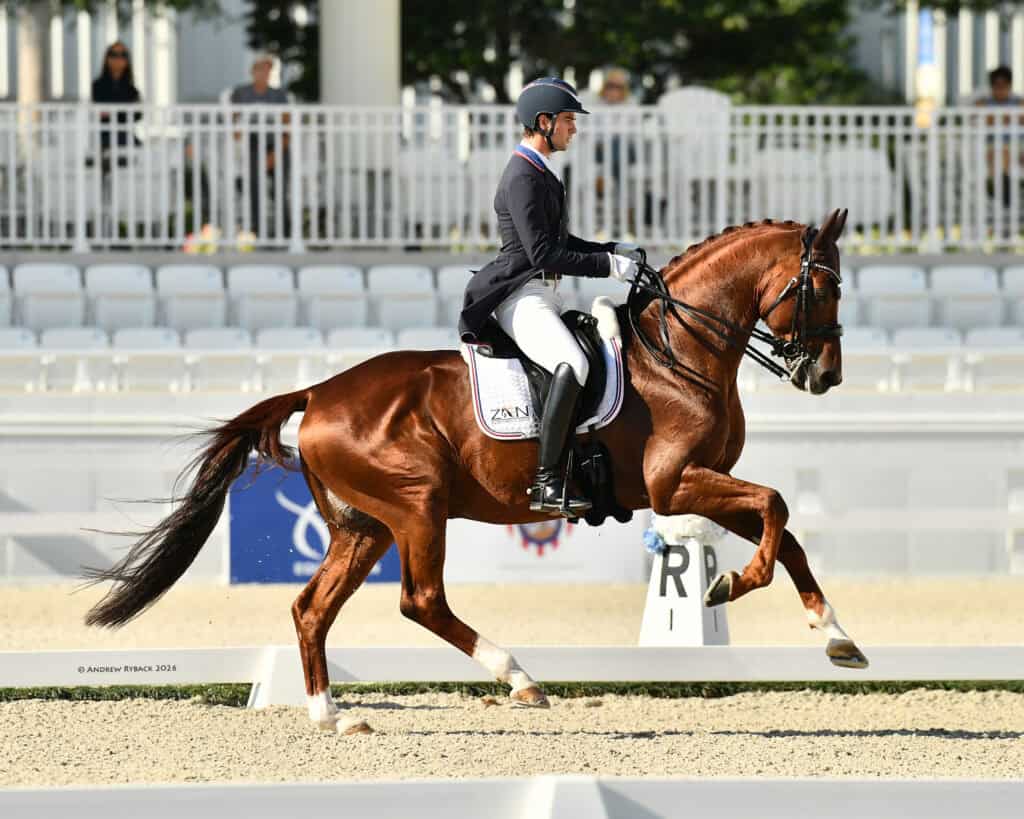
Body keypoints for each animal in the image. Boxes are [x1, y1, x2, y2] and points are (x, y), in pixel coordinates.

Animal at [85, 209, 867, 732]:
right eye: (823, 288)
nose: (824, 375)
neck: (678, 350)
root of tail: (320, 392)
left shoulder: (697, 483)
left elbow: (786, 529)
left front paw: (836, 636)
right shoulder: (674, 484)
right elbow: (776, 508)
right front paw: (726, 584)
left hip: (365, 525)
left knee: (313, 608)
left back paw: (333, 716)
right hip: (418, 505)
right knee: (420, 600)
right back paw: (518, 677)